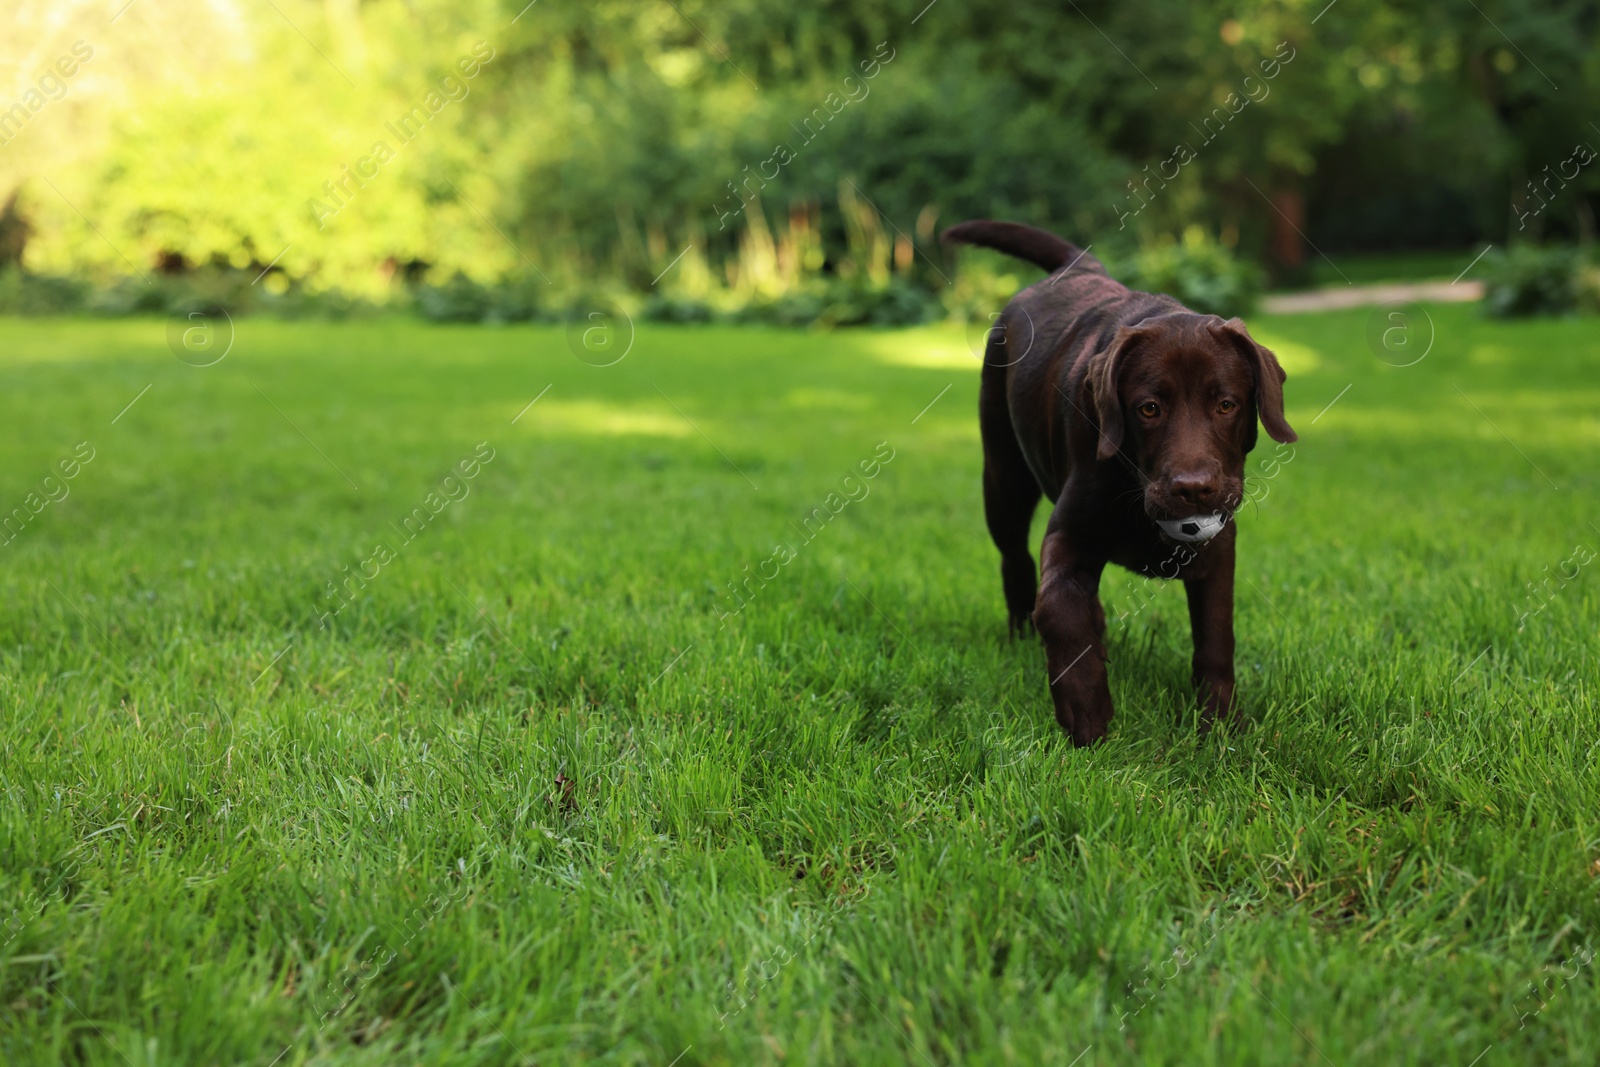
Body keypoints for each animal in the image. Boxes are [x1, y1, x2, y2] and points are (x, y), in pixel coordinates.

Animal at [934, 220, 1299, 748]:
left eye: (1226, 404)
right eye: (1149, 408)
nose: (1193, 489)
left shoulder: (1220, 546)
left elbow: (1215, 636)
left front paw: (1219, 726)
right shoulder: (1069, 532)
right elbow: (1057, 607)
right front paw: (1086, 712)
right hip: (1003, 477)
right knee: (1016, 560)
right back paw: (1023, 635)